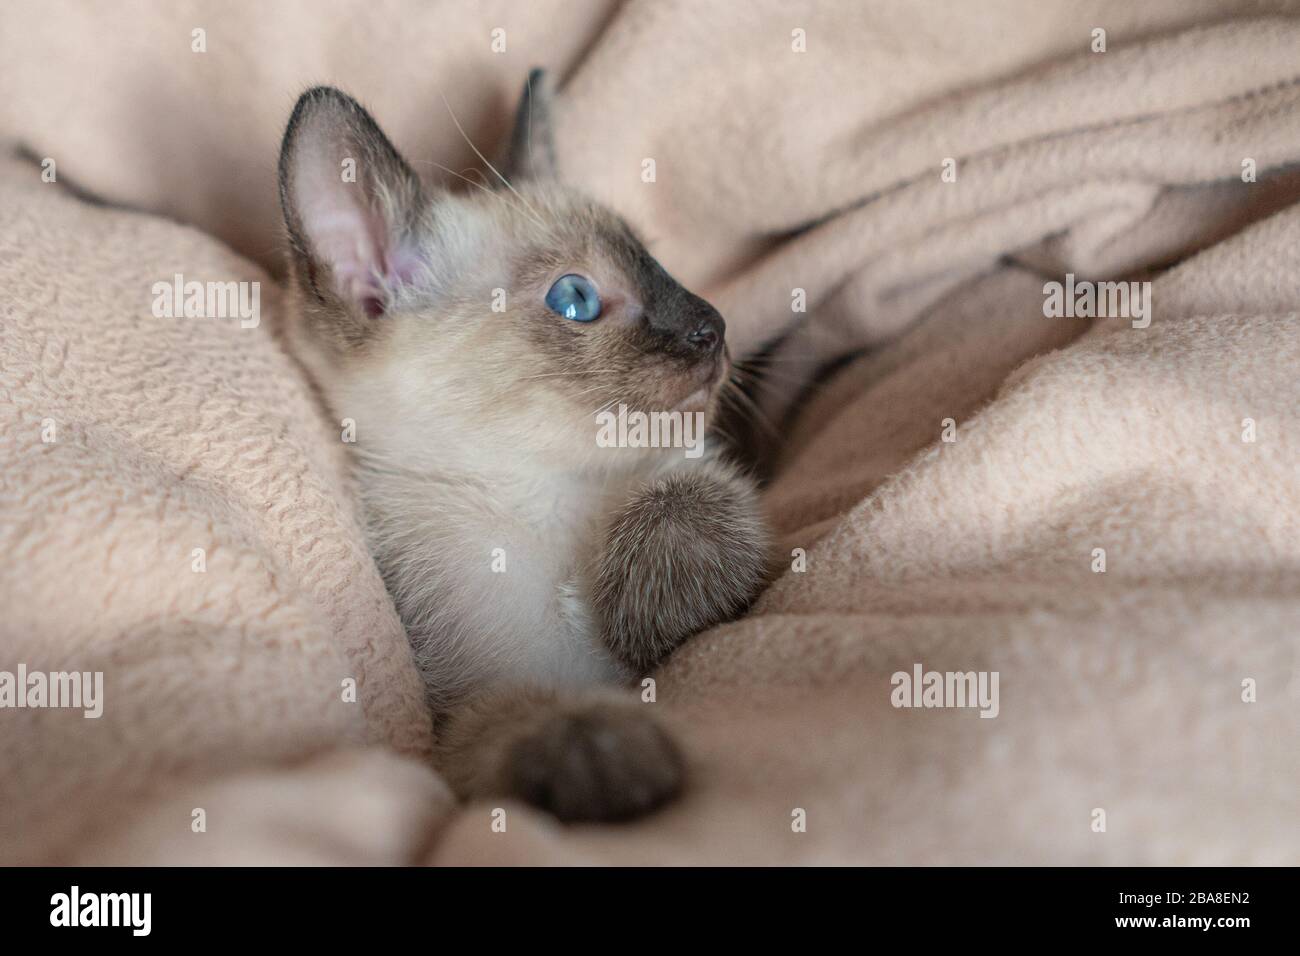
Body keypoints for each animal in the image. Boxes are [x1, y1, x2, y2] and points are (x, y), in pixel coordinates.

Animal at [274, 76, 759, 822]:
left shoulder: (688, 475)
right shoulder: (464, 712)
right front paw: (607, 755)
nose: (714, 327)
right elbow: (518, 718)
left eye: (659, 267)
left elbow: (691, 494)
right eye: (576, 298)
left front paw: (649, 612)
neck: (541, 494)